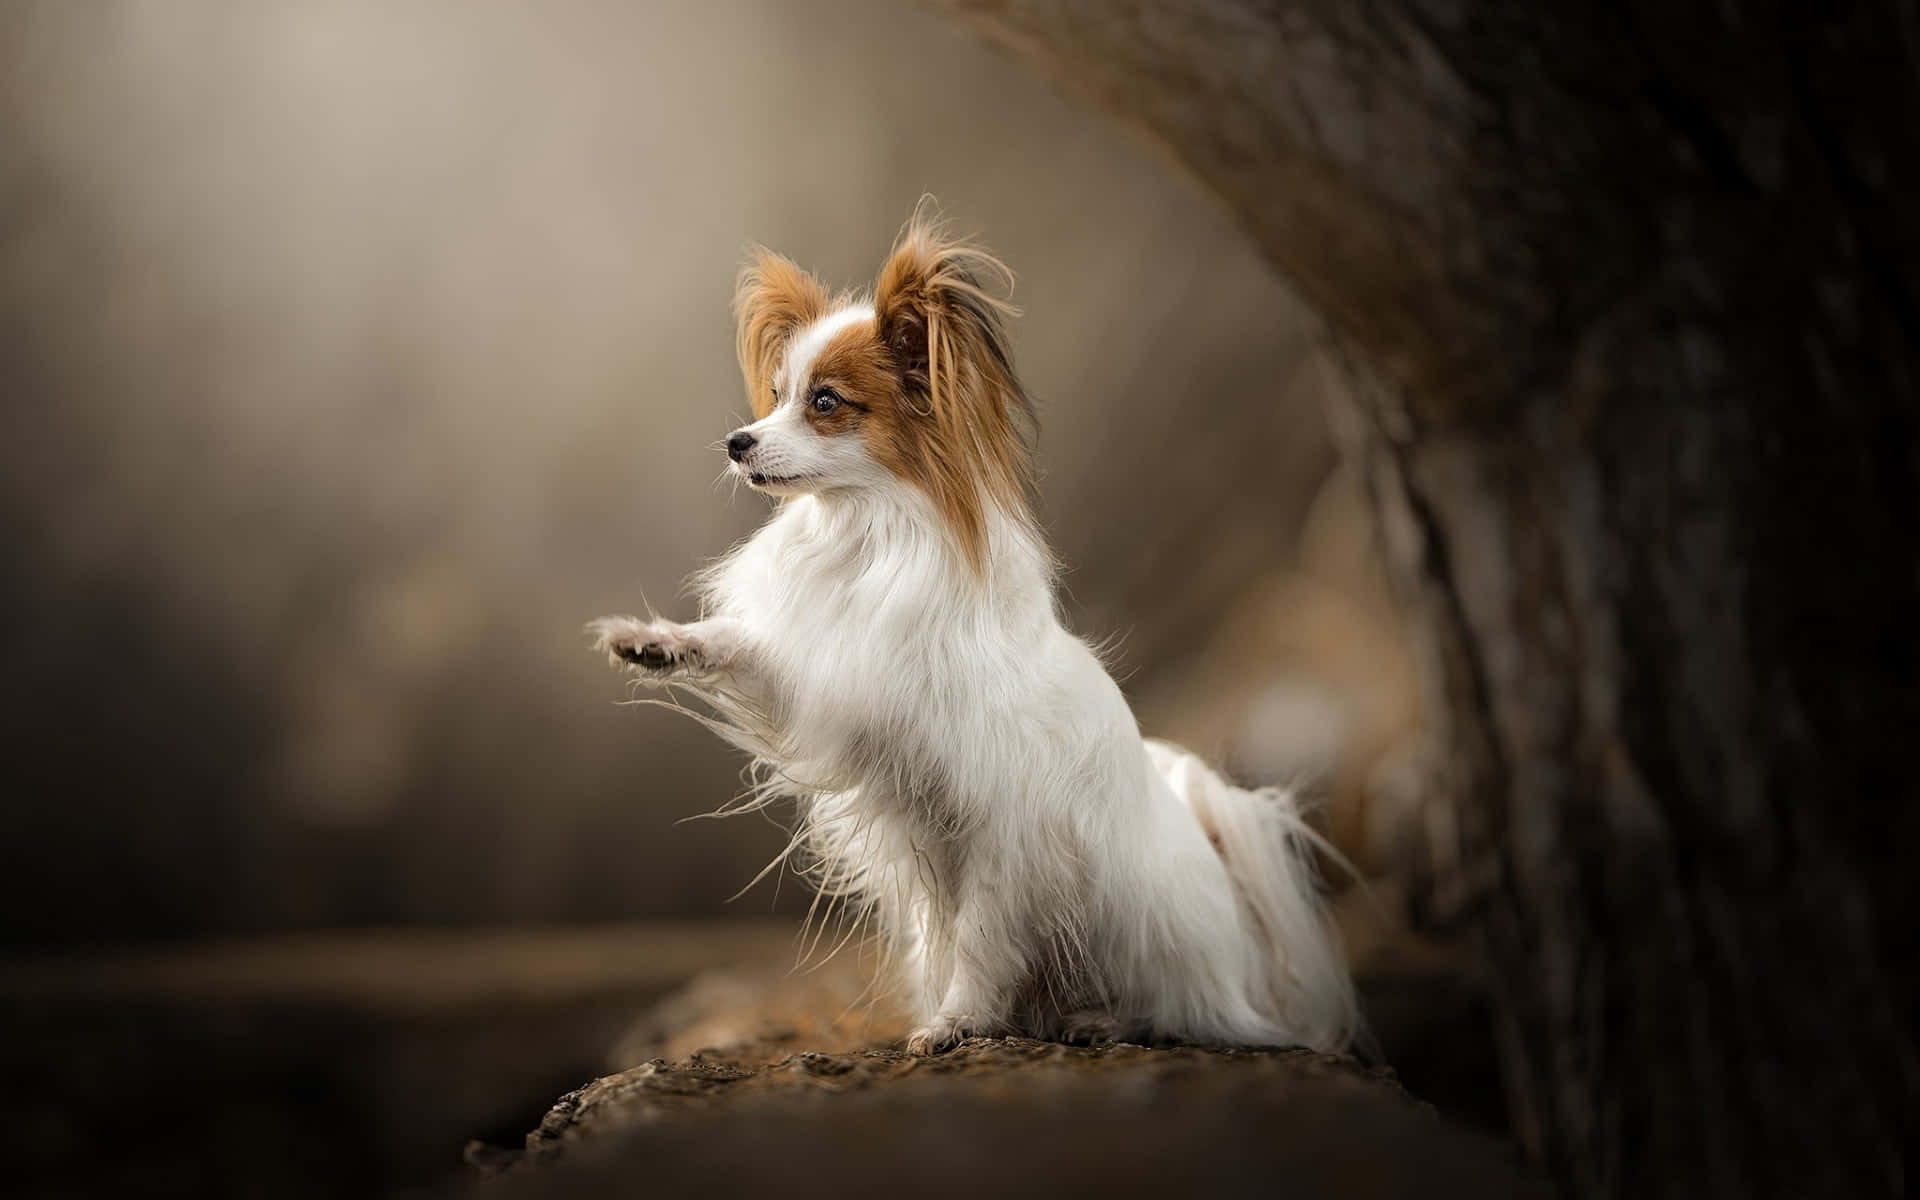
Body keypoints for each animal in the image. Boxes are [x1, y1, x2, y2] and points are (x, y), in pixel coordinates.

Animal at [591, 210, 1359, 1052]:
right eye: (776, 396)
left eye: (825, 402)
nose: (738, 440)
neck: (869, 535)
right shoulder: (832, 686)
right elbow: (741, 645)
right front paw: (656, 642)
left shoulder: (1001, 824)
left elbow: (983, 936)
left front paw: (959, 1020)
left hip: (1137, 928)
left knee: (1175, 1010)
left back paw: (1101, 1018)